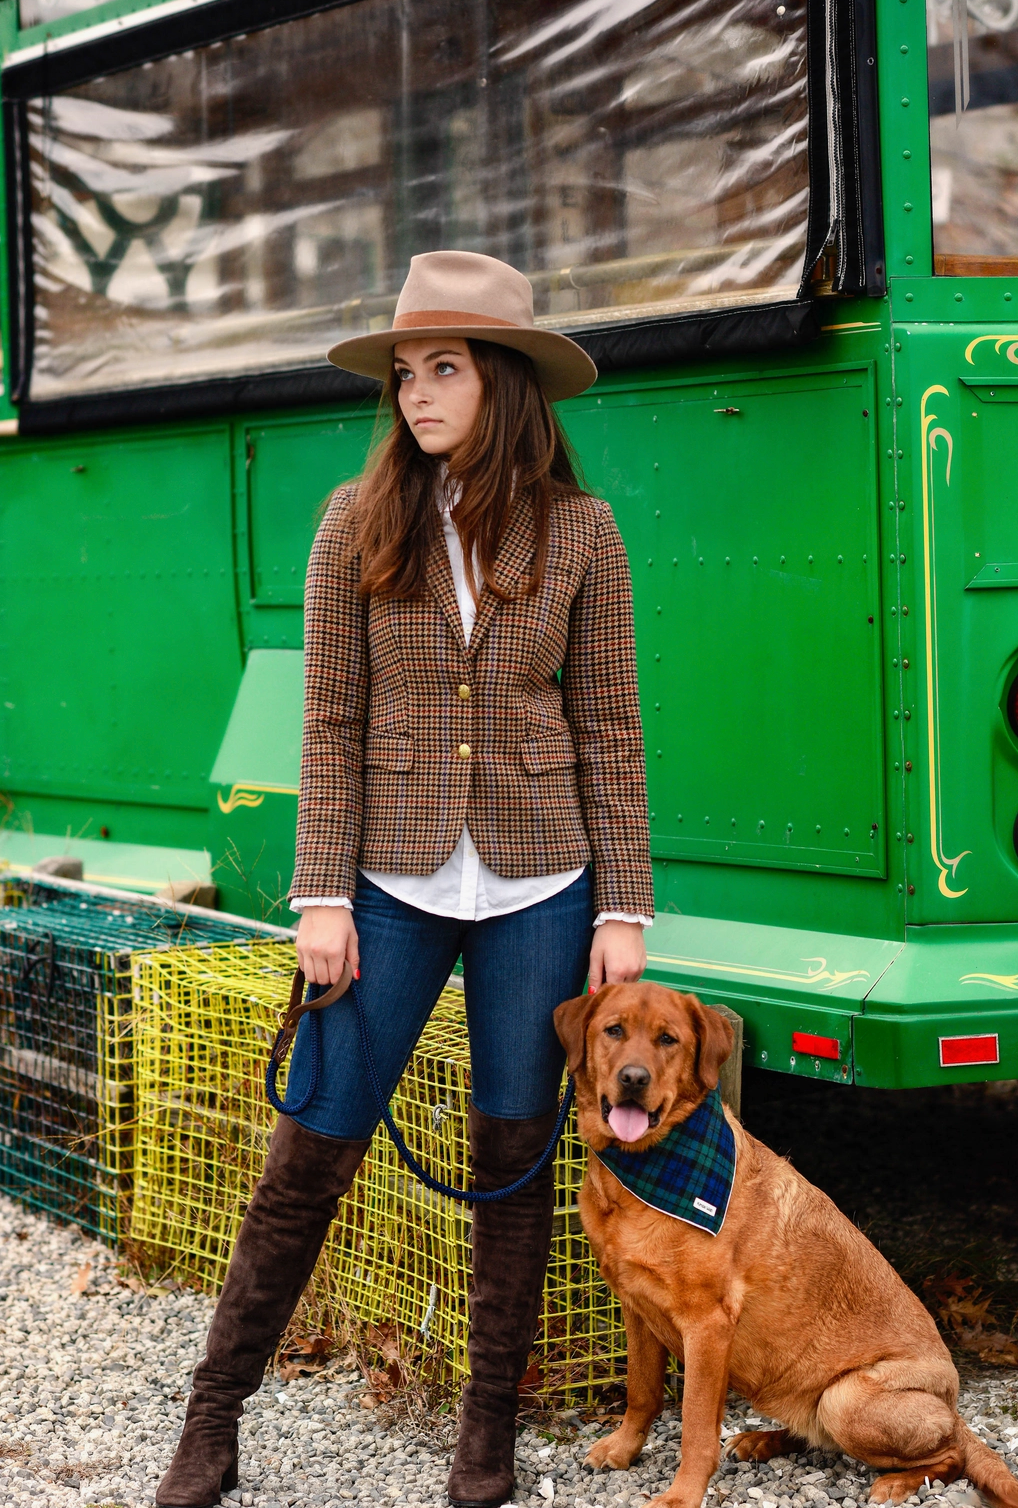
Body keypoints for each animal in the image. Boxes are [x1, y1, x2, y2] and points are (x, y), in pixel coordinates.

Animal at [558, 977, 1018, 1508]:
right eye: (614, 1030)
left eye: (668, 1039)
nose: (634, 1078)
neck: (642, 1171)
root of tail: (955, 1409)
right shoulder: (636, 1306)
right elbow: (641, 1392)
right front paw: (623, 1450)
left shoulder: (707, 1324)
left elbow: (695, 1426)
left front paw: (683, 1493)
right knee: (821, 1435)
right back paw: (763, 1440)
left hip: (846, 1398)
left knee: (950, 1457)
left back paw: (897, 1482)